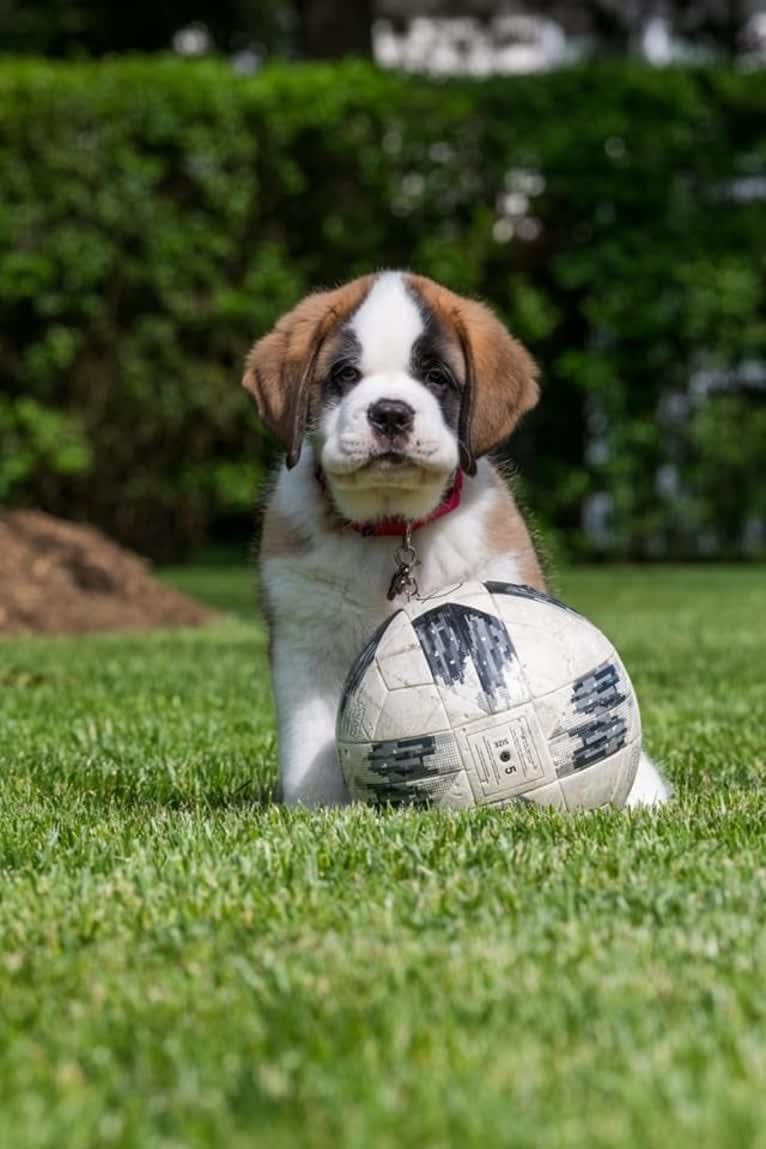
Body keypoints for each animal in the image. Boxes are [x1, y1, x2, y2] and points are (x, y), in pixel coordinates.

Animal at [245, 268, 670, 808]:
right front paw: (319, 811)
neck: (396, 528)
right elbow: (309, 747)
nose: (390, 413)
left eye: (436, 378)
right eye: (345, 375)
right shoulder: (305, 638)